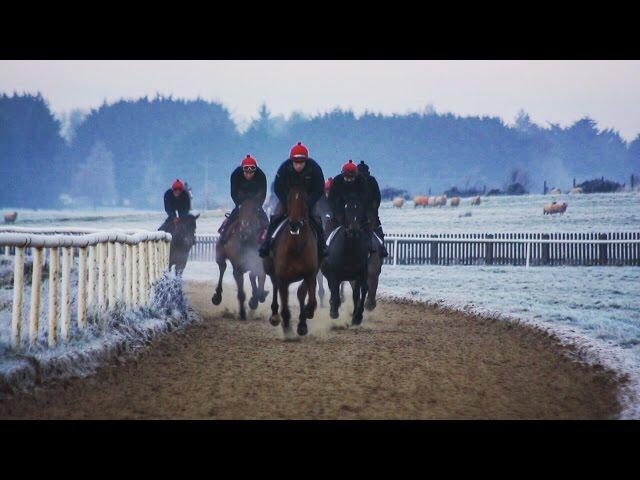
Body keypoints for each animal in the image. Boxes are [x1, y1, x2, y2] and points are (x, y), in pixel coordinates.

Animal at [262, 185, 318, 338]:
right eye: (288, 200)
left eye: (305, 200)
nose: (294, 224)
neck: (296, 247)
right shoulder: (283, 278)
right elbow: (285, 307)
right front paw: (287, 329)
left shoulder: (310, 274)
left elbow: (310, 299)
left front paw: (306, 317)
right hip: (271, 270)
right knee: (275, 287)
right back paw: (275, 316)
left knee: (300, 293)